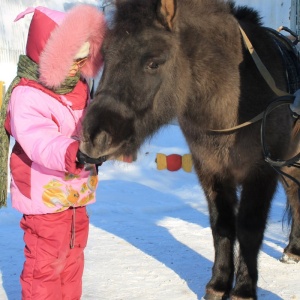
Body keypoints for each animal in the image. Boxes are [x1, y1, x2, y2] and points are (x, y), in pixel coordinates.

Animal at [79, 1, 300, 298]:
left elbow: (249, 228)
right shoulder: (211, 172)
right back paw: (294, 248)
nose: (94, 136)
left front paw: (243, 289)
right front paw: (218, 284)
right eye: (106, 55)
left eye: (154, 62)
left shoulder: (261, 173)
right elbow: (222, 227)